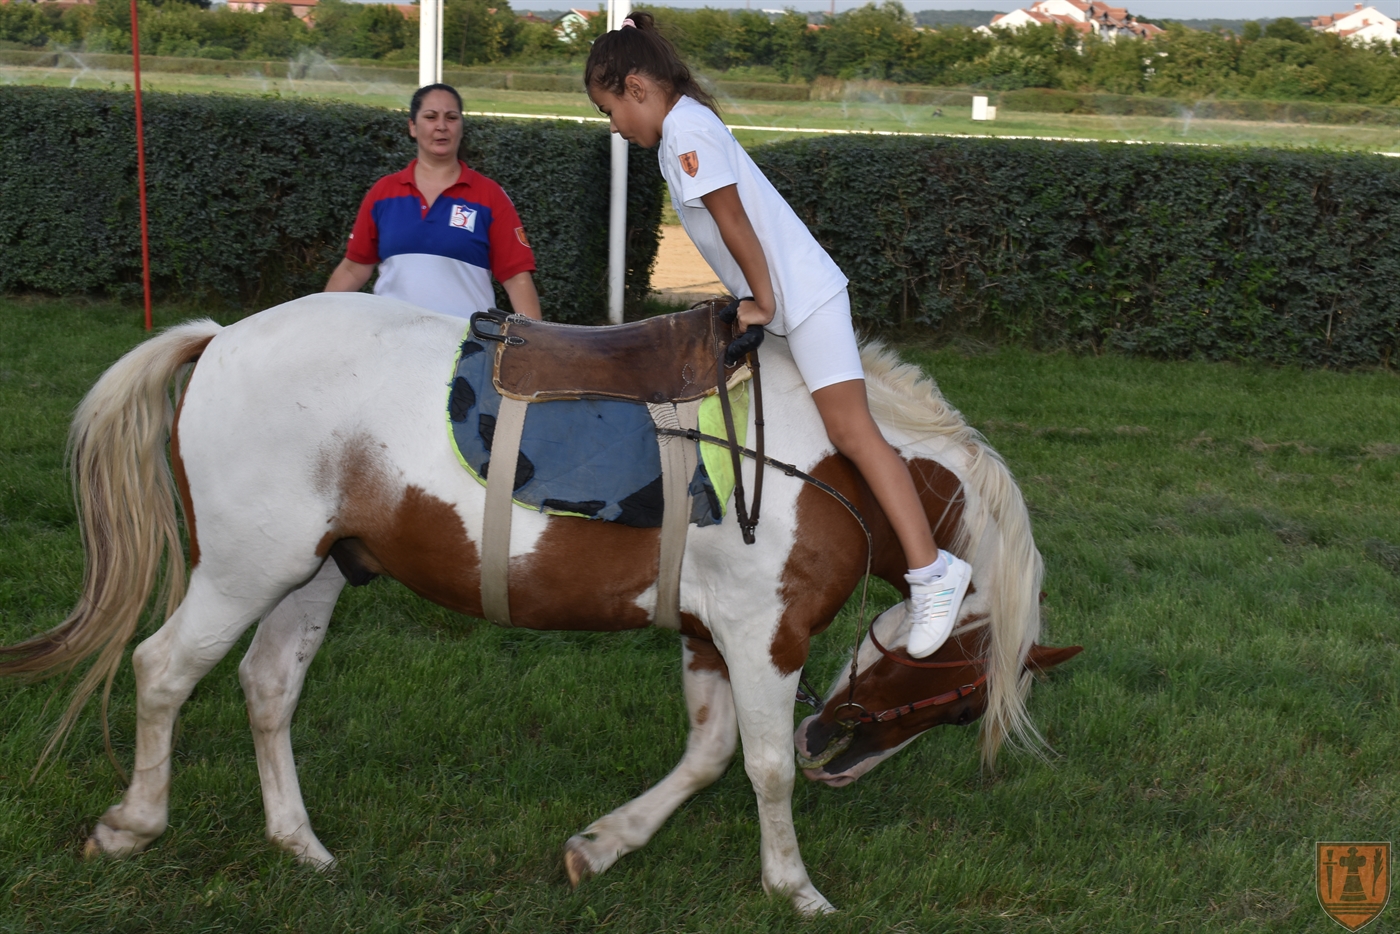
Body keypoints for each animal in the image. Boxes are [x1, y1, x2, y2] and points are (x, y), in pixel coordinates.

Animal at [0, 292, 1078, 915]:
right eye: (958, 702)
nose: (835, 762)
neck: (839, 462)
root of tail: (220, 338)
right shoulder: (760, 634)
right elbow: (761, 768)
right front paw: (793, 884)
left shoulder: (710, 635)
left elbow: (705, 756)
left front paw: (602, 846)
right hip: (241, 571)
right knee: (162, 671)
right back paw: (133, 822)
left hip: (315, 573)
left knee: (268, 688)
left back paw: (299, 842)